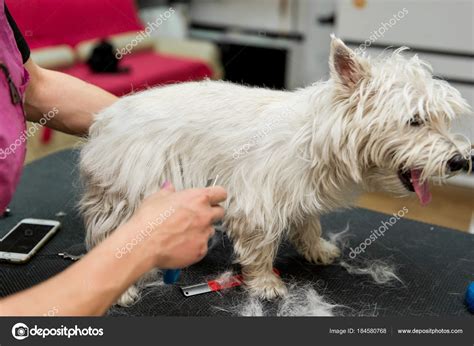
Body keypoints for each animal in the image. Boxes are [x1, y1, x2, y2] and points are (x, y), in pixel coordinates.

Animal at [80, 36, 470, 304]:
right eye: (415, 120)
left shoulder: (300, 193)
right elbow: (260, 246)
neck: (316, 137)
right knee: (109, 238)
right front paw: (266, 283)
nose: (460, 161)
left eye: (444, 118)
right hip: (127, 194)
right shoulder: (258, 201)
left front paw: (316, 248)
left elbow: (308, 222)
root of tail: (106, 117)